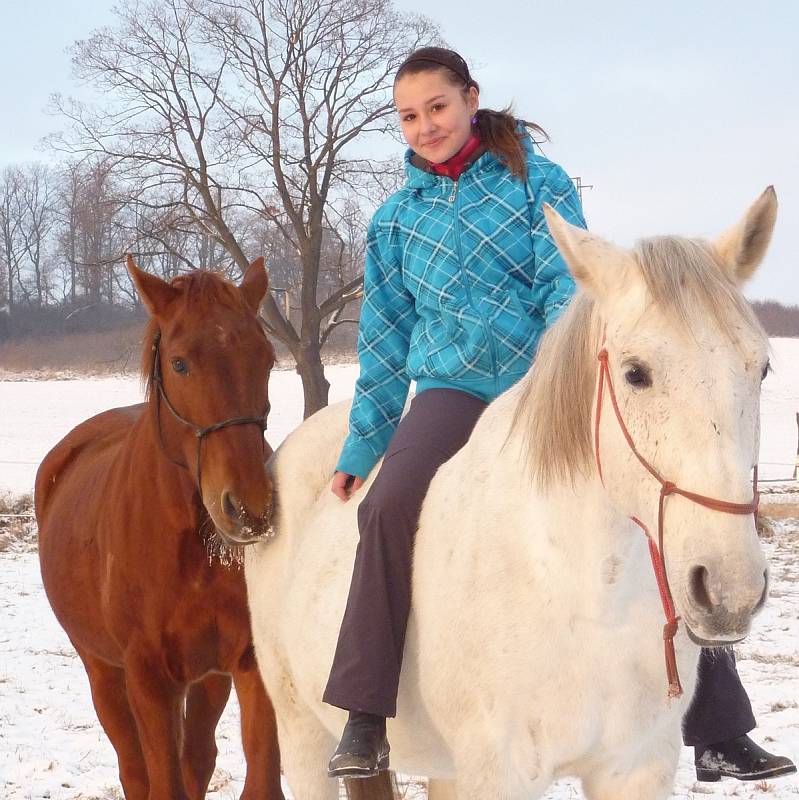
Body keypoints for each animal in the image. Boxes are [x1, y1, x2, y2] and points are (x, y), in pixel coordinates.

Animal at [38, 258, 288, 800]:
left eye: (266, 358)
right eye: (179, 363)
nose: (249, 508)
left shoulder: (248, 664)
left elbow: (256, 778)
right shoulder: (149, 678)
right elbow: (161, 780)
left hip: (207, 679)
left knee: (196, 759)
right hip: (103, 673)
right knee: (136, 770)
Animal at [247, 189, 780, 800]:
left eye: (762, 368)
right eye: (635, 373)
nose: (731, 589)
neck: (588, 596)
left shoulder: (638, 766)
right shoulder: (499, 770)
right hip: (302, 731)